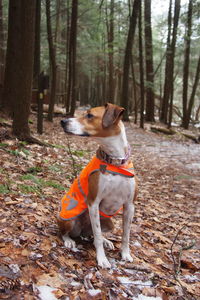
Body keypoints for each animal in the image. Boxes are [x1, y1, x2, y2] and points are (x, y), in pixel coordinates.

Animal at [57, 102, 137, 268]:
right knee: (67, 233)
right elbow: (98, 236)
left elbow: (126, 235)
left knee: (94, 234)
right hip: (68, 219)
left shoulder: (129, 205)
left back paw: (106, 241)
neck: (114, 162)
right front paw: (102, 259)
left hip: (109, 223)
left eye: (89, 115)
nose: (63, 121)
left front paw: (125, 254)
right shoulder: (93, 202)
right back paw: (69, 241)